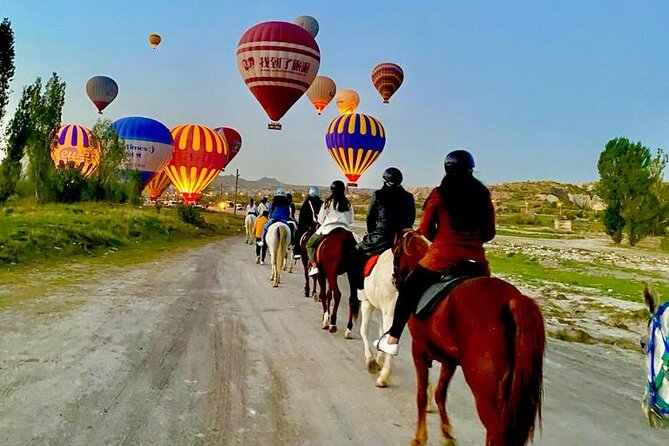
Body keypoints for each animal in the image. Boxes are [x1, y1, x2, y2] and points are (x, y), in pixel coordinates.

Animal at [392, 230, 544, 446]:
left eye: (394, 251)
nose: (394, 280)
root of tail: (513, 300)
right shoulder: (449, 361)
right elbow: (439, 394)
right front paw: (447, 435)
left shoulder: (418, 350)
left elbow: (422, 395)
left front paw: (419, 437)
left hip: (486, 392)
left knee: (496, 433)